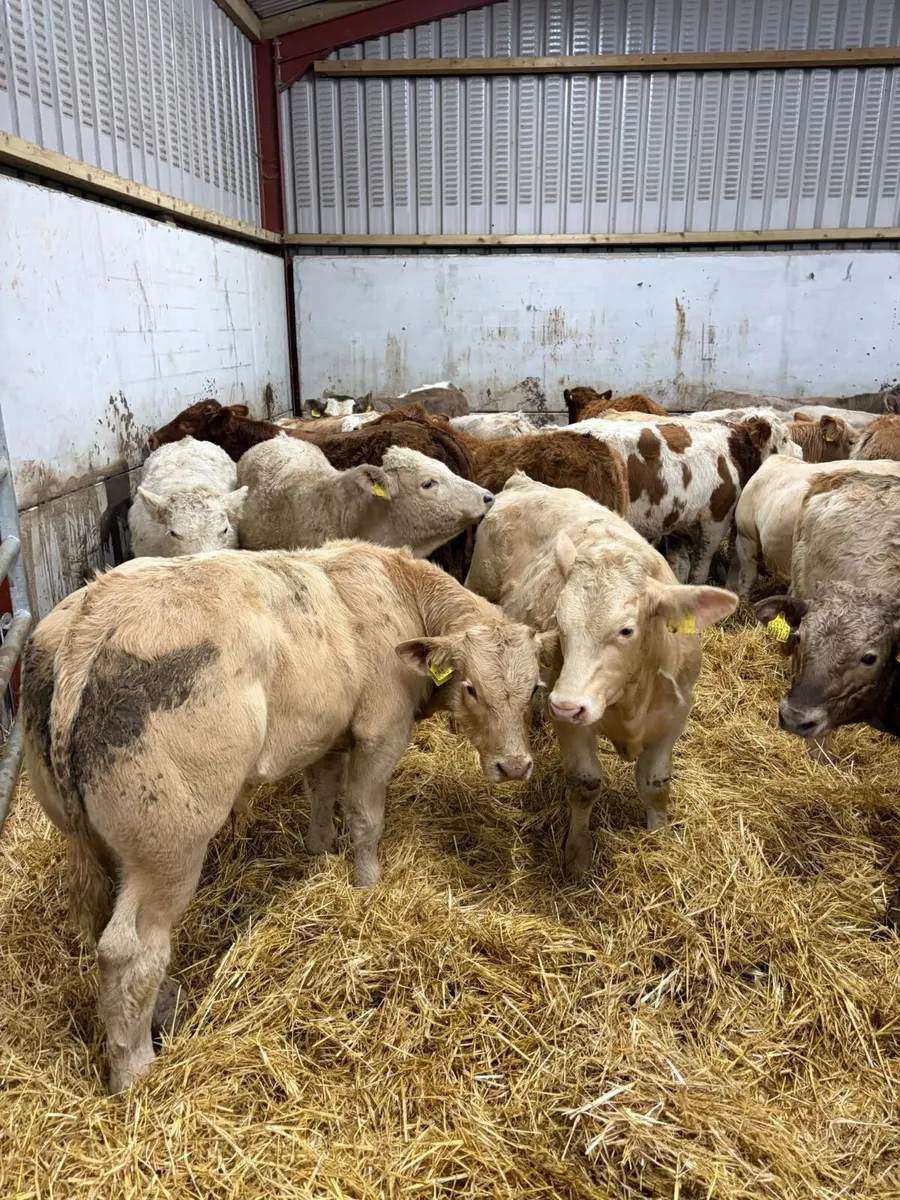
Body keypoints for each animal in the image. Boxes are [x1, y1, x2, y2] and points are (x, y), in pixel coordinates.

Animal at [22, 542, 555, 1092]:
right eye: (471, 688)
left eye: (535, 688)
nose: (514, 766)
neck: (397, 588)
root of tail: (96, 613)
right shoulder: (381, 732)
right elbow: (366, 817)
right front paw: (368, 883)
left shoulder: (328, 735)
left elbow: (322, 790)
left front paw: (320, 850)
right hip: (167, 848)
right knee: (129, 951)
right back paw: (136, 1071)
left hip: (91, 837)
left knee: (99, 921)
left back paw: (166, 1009)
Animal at [467, 474, 737, 874]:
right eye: (560, 623)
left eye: (626, 630)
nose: (566, 704)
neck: (631, 697)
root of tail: (524, 482)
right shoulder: (570, 721)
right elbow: (585, 783)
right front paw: (578, 854)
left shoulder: (675, 716)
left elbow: (655, 784)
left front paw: (659, 837)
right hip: (478, 585)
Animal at [566, 416, 800, 583]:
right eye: (784, 438)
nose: (800, 451)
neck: (732, 452)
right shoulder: (716, 520)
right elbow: (700, 570)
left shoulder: (678, 524)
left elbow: (679, 567)